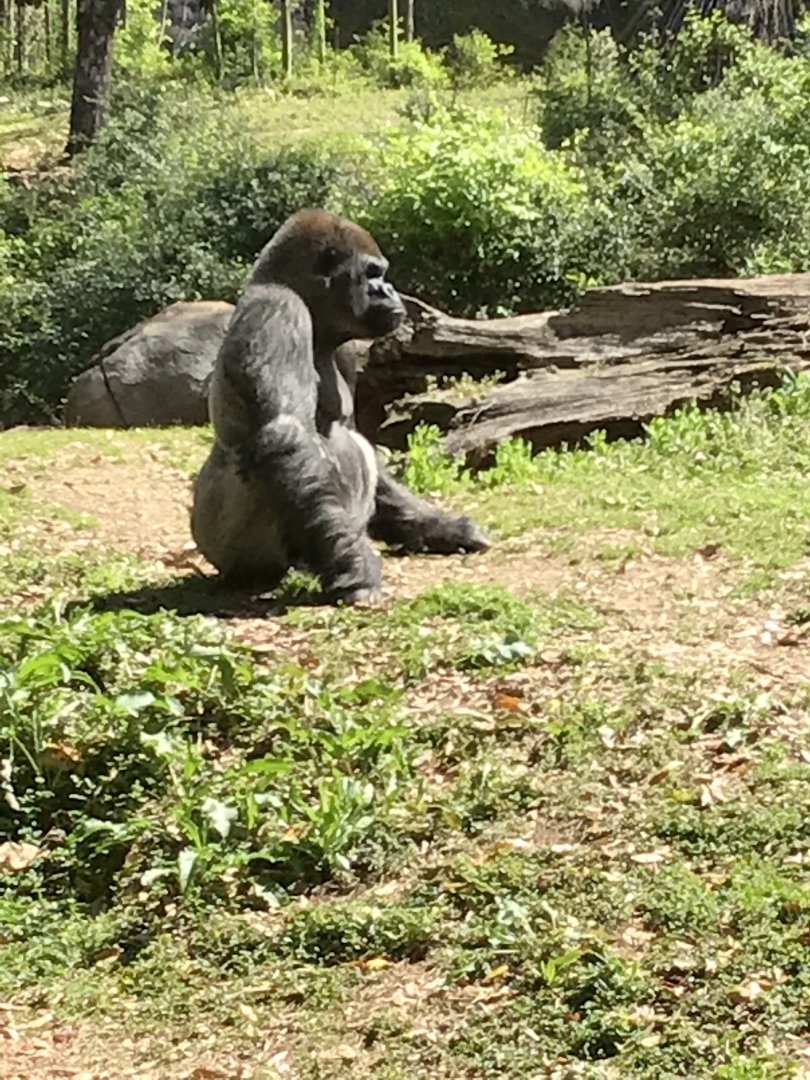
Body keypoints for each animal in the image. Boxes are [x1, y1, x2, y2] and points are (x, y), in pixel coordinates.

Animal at [191, 209, 488, 605]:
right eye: (373, 274)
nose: (390, 291)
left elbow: (359, 437)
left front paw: (440, 527)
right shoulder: (278, 310)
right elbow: (285, 433)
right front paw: (355, 563)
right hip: (225, 545)